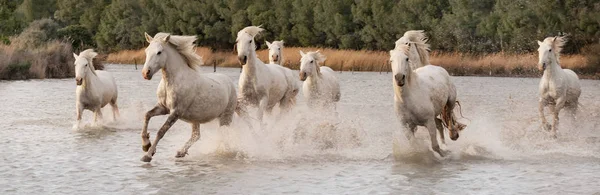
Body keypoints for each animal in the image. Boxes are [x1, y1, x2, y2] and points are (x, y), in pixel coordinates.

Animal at [141, 32, 239, 162]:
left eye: (159, 52)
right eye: (146, 51)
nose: (145, 73)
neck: (171, 81)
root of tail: (230, 82)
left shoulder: (176, 112)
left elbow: (161, 131)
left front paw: (147, 155)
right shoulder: (163, 108)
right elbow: (147, 115)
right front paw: (146, 145)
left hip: (225, 117)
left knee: (224, 136)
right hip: (195, 118)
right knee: (196, 135)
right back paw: (180, 152)